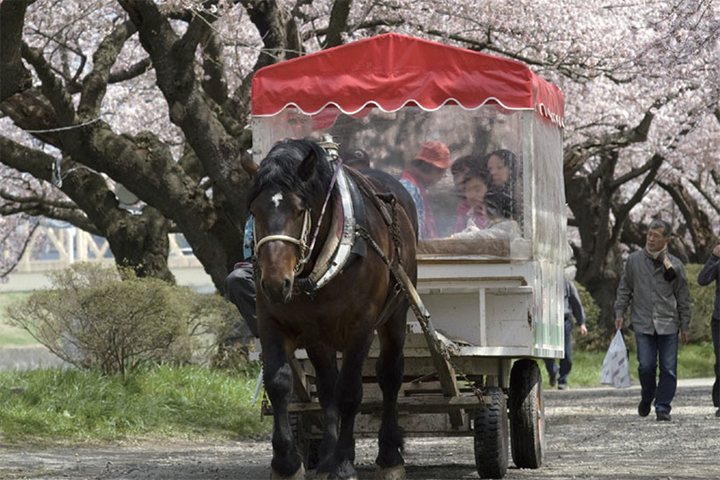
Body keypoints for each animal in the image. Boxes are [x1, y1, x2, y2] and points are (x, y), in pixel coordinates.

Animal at [246, 137, 420, 478]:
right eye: (255, 211)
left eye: (299, 210)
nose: (275, 282)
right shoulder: (271, 320)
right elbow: (279, 383)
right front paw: (286, 462)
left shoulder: (361, 327)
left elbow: (350, 392)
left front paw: (343, 463)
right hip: (318, 336)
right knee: (326, 387)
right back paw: (326, 455)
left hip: (396, 312)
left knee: (389, 375)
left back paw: (388, 454)